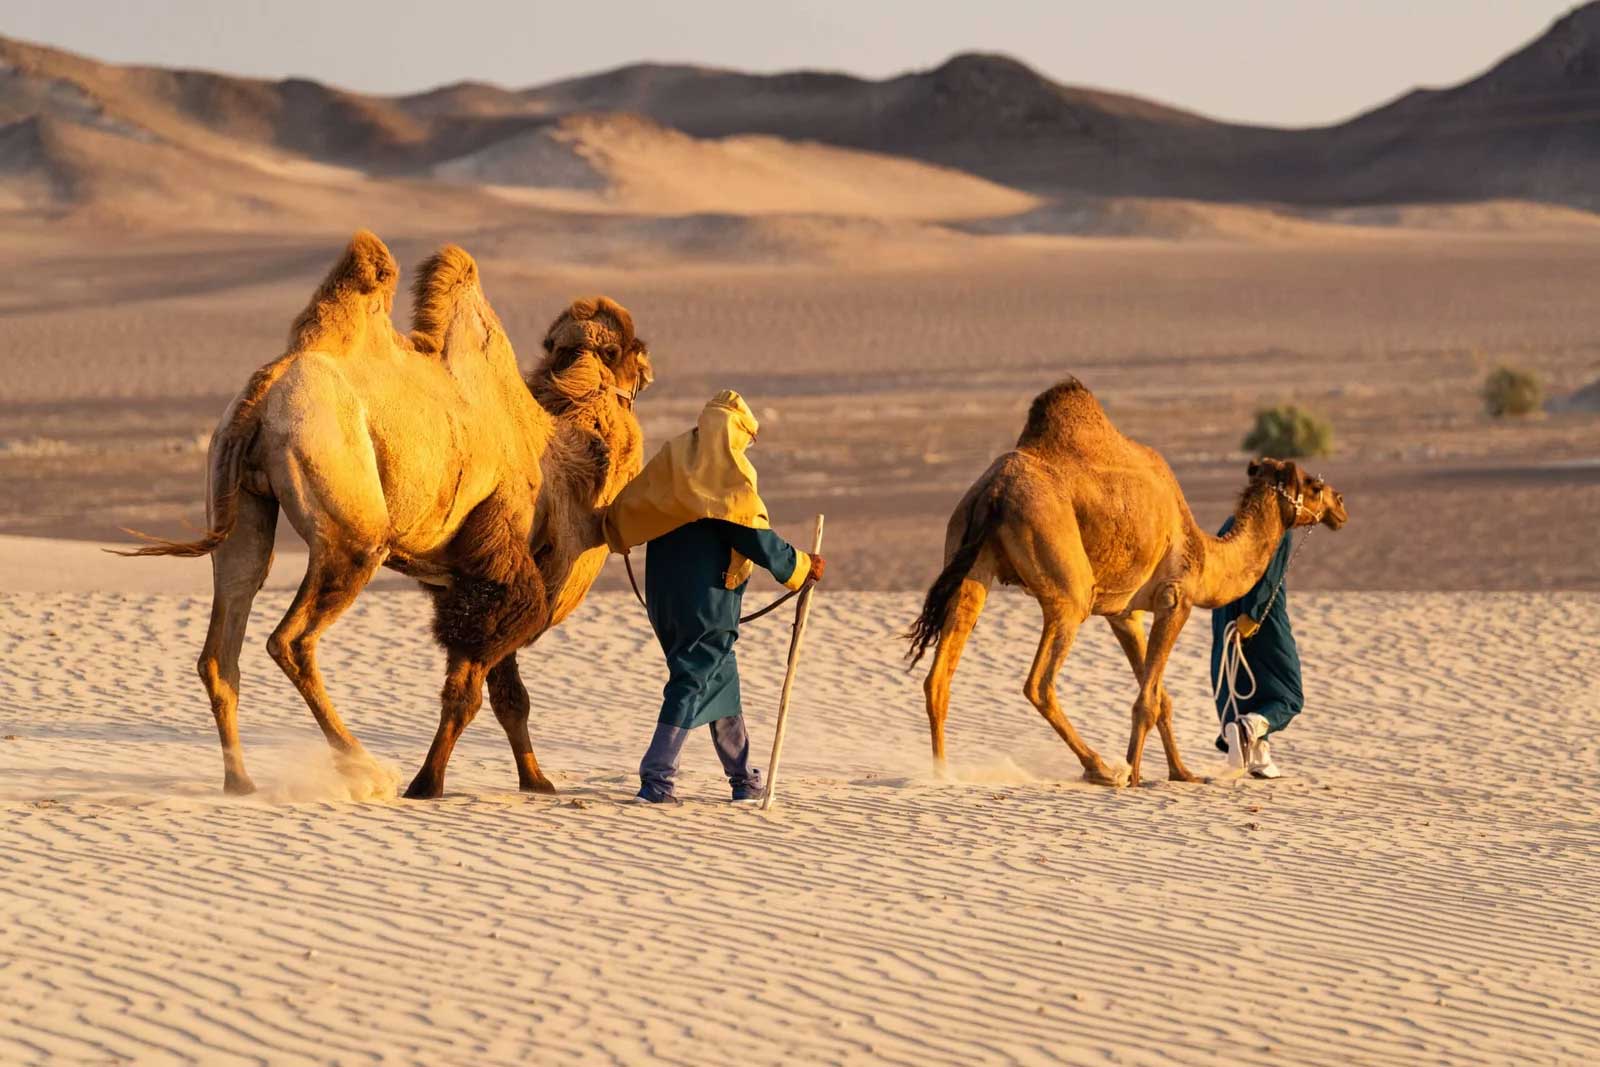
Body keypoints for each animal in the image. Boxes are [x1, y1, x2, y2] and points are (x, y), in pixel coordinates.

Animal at [124, 230, 651, 799]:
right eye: (621, 351)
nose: (647, 364)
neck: (559, 452)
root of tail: (262, 394)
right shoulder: (500, 565)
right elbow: (469, 690)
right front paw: (427, 783)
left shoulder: (471, 576)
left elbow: (510, 695)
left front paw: (536, 782)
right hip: (353, 530)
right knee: (291, 639)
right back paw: (367, 769)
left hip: (240, 504)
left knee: (225, 638)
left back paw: (241, 782)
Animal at [906, 377, 1347, 787]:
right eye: (1315, 486)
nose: (1340, 505)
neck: (1205, 553)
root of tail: (993, 492)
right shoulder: (1175, 598)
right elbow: (1148, 699)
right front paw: (1135, 775)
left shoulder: (1124, 613)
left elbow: (1161, 697)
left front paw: (1182, 773)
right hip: (1066, 583)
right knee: (1040, 683)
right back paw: (1101, 768)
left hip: (969, 561)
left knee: (938, 677)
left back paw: (943, 773)